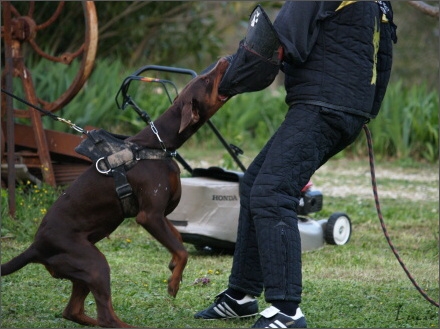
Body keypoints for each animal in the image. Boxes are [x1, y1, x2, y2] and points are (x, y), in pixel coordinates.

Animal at [0, 57, 230, 326]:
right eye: (206, 80)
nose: (224, 59)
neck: (158, 144)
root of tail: (36, 247)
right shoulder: (150, 215)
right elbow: (182, 250)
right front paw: (173, 283)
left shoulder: (160, 215)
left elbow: (178, 240)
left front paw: (174, 267)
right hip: (95, 264)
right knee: (106, 316)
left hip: (83, 270)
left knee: (74, 312)